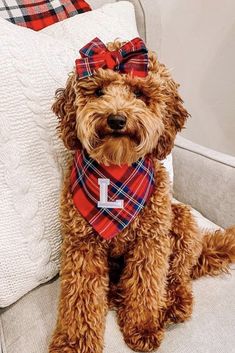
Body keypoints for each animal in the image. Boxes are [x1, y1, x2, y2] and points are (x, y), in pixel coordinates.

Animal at [48, 39, 235, 352]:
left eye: (138, 93)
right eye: (98, 92)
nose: (116, 119)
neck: (116, 173)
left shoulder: (151, 240)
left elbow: (146, 285)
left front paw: (143, 325)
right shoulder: (82, 244)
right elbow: (80, 296)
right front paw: (73, 343)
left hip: (181, 221)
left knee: (178, 275)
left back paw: (174, 304)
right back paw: (117, 294)